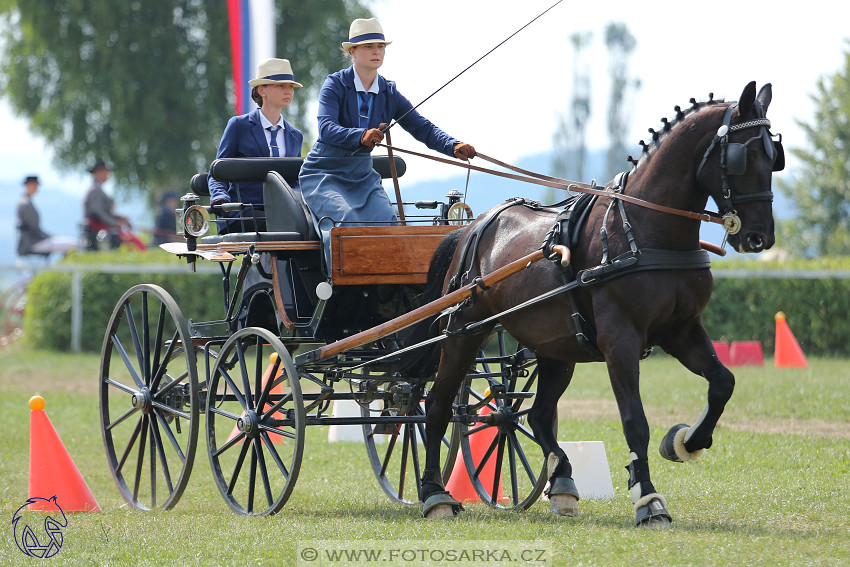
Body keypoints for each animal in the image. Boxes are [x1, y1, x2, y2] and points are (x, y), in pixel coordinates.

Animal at [418, 82, 780, 524]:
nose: (760, 236)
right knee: (438, 405)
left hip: (556, 347)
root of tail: (472, 226)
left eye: (775, 156)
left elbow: (722, 382)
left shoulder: (681, 329)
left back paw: (561, 482)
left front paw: (685, 442)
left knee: (537, 416)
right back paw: (434, 493)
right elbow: (634, 420)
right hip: (463, 332)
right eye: (745, 156)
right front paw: (648, 498)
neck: (646, 229)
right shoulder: (620, 339)